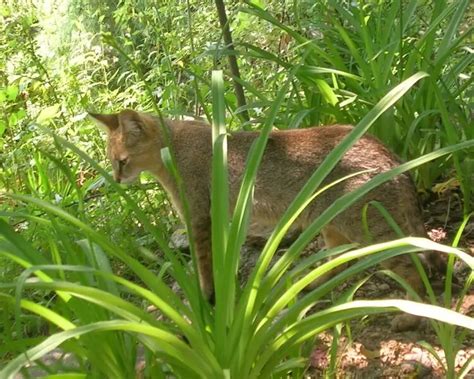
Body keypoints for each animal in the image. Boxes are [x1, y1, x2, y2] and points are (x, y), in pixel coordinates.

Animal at [90, 109, 444, 330]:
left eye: (122, 161)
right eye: (112, 161)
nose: (116, 178)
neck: (173, 148)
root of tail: (390, 153)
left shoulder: (199, 218)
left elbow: (203, 266)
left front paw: (207, 300)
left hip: (367, 228)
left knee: (414, 268)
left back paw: (411, 316)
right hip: (330, 223)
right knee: (340, 261)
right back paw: (309, 283)